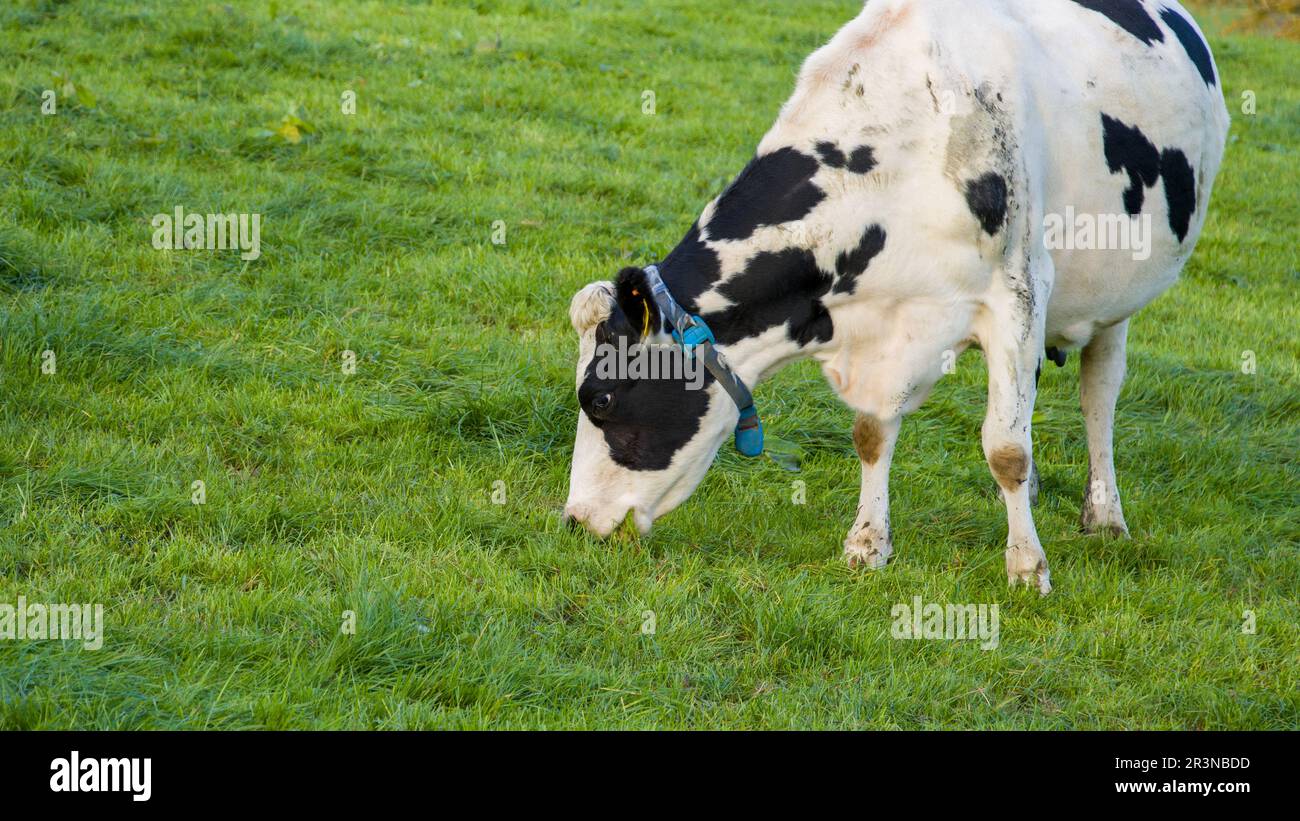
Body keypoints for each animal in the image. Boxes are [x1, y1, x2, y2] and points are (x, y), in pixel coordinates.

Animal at [563, 0, 1230, 594]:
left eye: (599, 398)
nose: (572, 520)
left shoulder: (1017, 294)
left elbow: (1006, 448)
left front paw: (1027, 568)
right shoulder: (880, 332)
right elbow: (873, 434)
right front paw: (866, 545)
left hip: (1115, 298)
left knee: (1099, 395)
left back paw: (1106, 516)